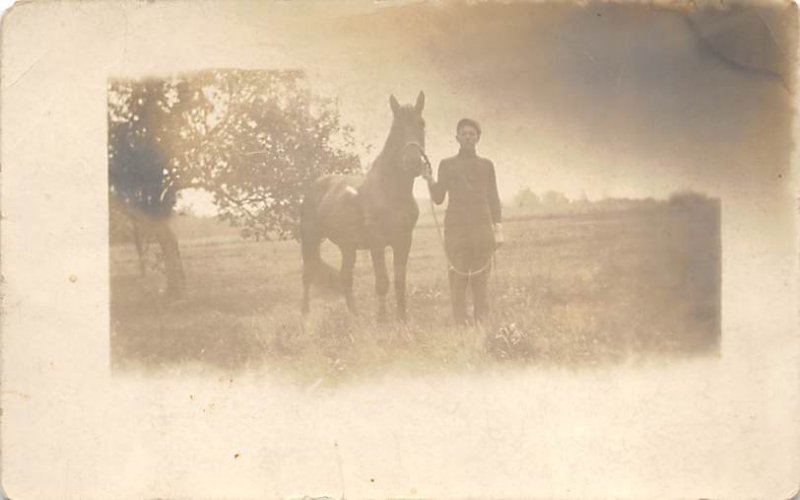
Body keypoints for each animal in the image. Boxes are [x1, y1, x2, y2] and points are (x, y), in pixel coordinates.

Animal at [300, 93, 428, 320]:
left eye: (421, 124)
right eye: (396, 127)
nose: (413, 162)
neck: (391, 192)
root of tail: (316, 184)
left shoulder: (404, 241)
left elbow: (400, 281)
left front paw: (402, 319)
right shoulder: (377, 242)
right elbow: (382, 282)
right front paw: (382, 320)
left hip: (347, 246)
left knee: (346, 276)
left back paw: (354, 315)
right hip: (310, 238)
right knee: (308, 274)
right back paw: (306, 314)